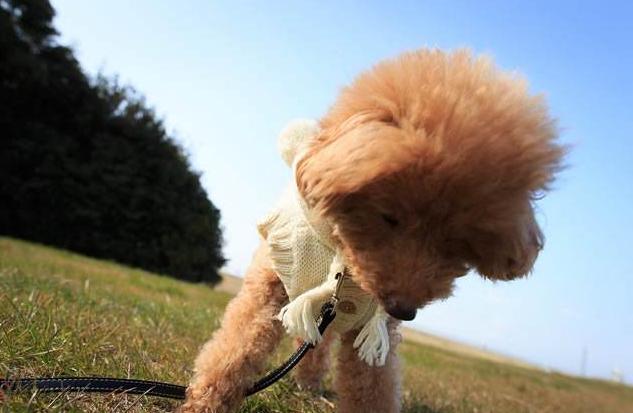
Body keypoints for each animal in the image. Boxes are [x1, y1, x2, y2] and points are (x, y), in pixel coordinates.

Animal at [181, 49, 564, 412]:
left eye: (457, 244)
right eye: (389, 217)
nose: (403, 310)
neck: (344, 261)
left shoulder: (371, 331)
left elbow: (372, 388)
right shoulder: (269, 291)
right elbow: (235, 350)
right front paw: (204, 403)